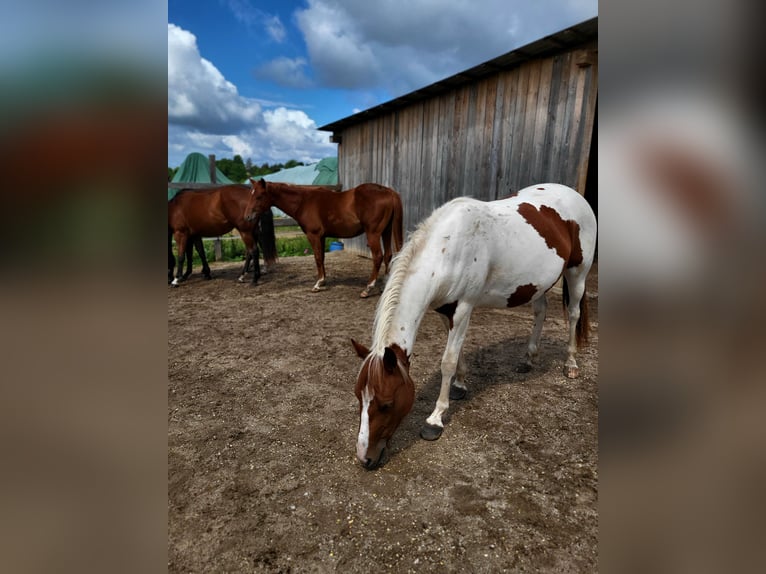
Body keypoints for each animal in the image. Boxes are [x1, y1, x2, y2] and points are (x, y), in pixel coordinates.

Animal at [244, 179, 403, 297]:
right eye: (250, 195)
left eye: (259, 196)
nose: (247, 217)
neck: (304, 201)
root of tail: (388, 192)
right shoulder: (321, 237)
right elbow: (322, 257)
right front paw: (323, 281)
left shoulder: (313, 235)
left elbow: (318, 257)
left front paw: (318, 284)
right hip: (386, 231)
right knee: (388, 255)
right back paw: (384, 285)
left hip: (373, 233)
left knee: (378, 257)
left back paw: (368, 288)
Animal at [350, 184, 597, 469]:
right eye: (358, 396)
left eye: (387, 404)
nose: (365, 458)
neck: (447, 250)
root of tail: (575, 195)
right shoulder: (445, 310)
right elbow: (457, 354)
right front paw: (460, 385)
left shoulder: (463, 308)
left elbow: (447, 361)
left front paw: (435, 419)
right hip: (537, 283)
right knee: (541, 311)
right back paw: (529, 358)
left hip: (577, 272)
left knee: (573, 315)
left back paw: (571, 364)